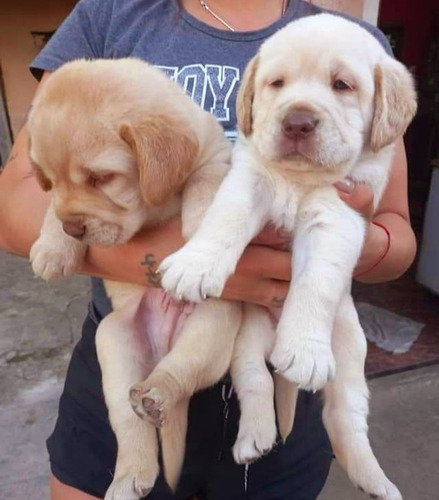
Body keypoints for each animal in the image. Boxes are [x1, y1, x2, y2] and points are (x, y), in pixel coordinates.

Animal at [160, 13, 418, 498]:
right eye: (277, 84)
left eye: (342, 85)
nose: (298, 121)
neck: (298, 181)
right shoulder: (248, 181)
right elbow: (224, 220)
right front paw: (193, 264)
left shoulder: (338, 216)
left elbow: (317, 281)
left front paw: (303, 349)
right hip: (245, 337)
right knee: (256, 380)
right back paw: (254, 438)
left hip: (350, 347)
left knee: (345, 416)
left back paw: (376, 481)